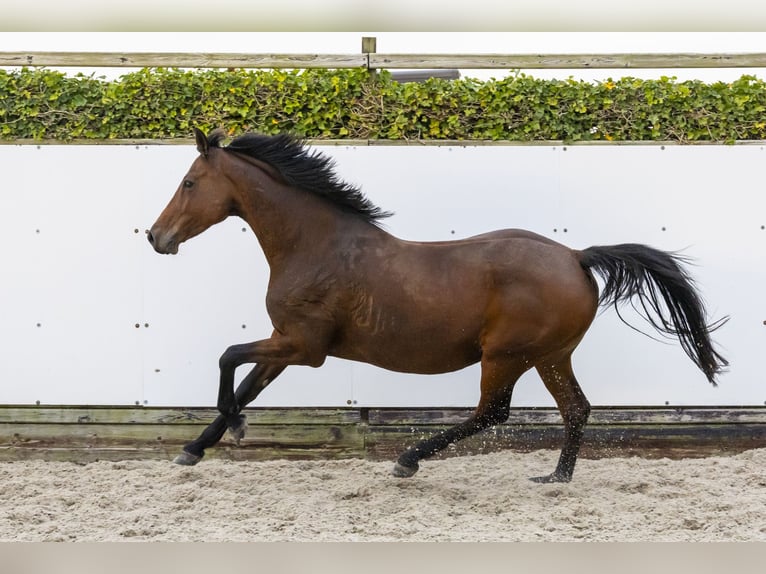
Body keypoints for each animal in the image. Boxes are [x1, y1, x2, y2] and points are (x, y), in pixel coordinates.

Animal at [147, 128, 728, 484]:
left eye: (189, 182)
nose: (156, 237)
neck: (317, 245)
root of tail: (576, 256)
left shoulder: (304, 346)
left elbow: (228, 357)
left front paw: (235, 428)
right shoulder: (284, 341)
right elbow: (246, 381)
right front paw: (196, 448)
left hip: (506, 355)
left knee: (492, 412)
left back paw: (409, 460)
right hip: (550, 356)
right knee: (576, 409)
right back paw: (557, 477)